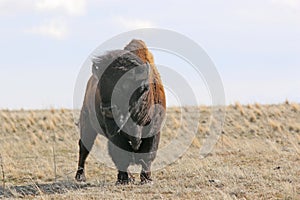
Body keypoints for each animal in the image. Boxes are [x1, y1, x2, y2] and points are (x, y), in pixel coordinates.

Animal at [74, 39, 165, 184]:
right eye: (100, 85)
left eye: (125, 87)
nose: (107, 110)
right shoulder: (115, 134)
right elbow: (121, 155)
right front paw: (123, 179)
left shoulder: (154, 129)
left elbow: (148, 154)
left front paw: (146, 179)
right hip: (87, 124)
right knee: (84, 147)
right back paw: (80, 176)